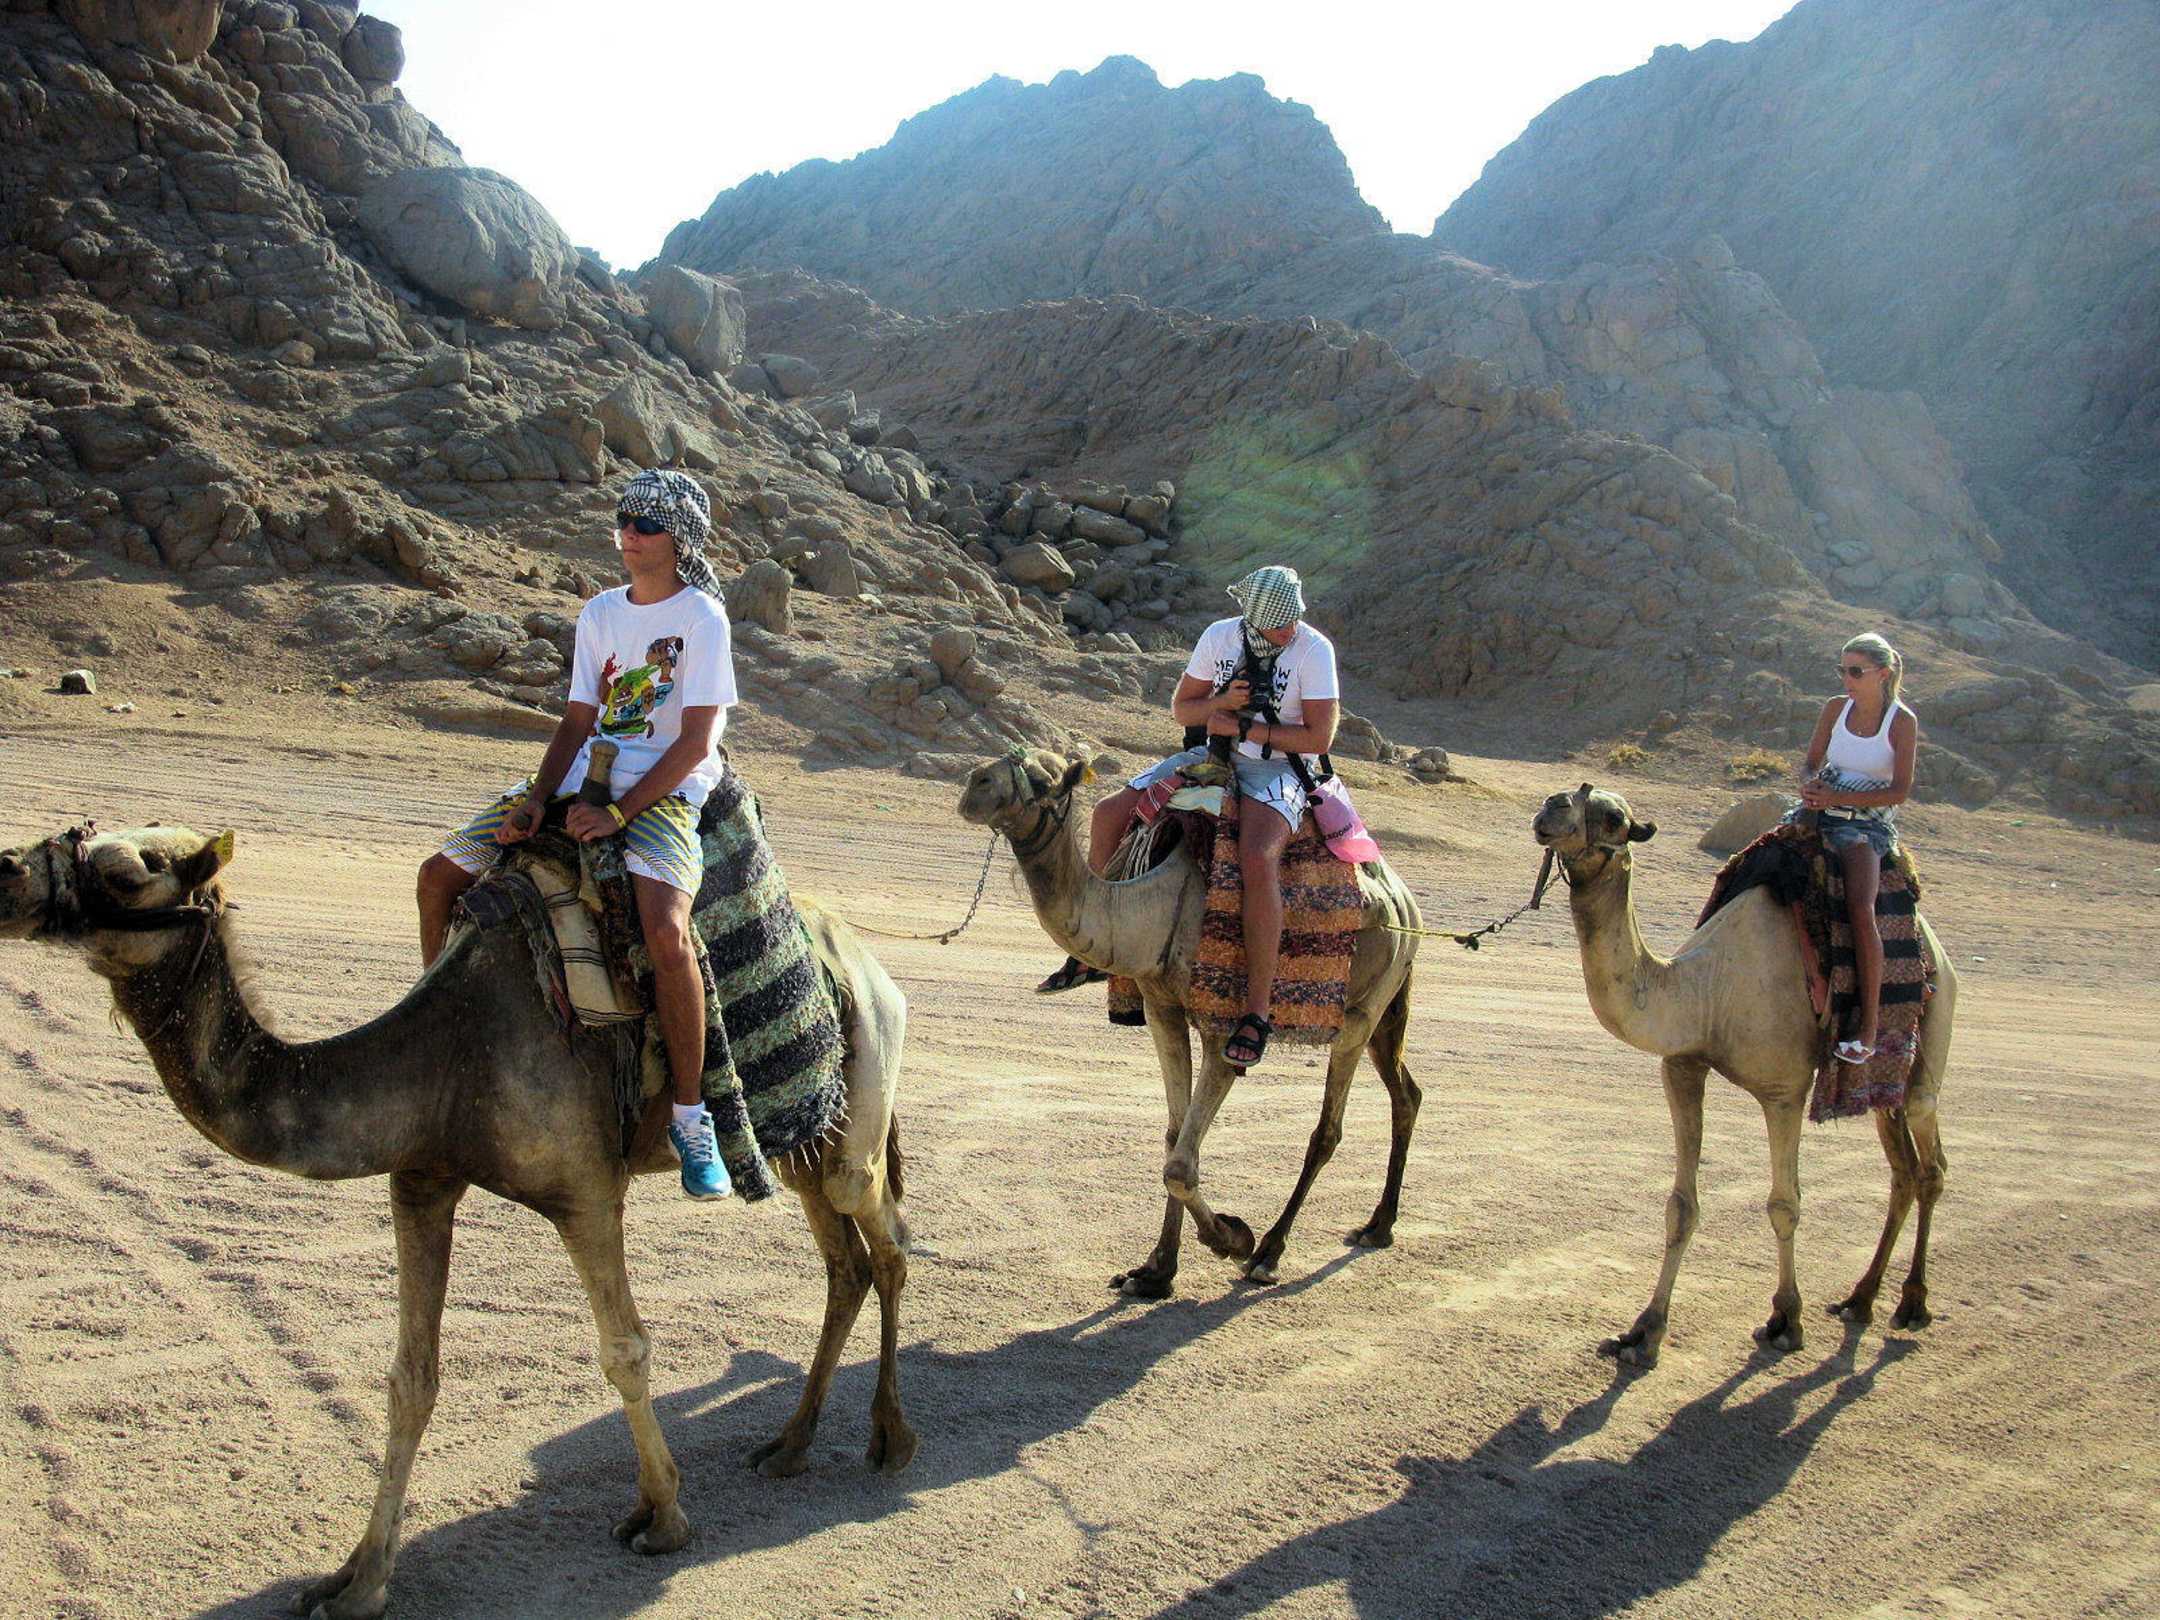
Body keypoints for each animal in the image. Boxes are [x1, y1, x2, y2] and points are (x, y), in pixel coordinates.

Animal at [0, 821, 916, 1620]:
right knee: (845, 1263)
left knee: (888, 1242)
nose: (7, 874)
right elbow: (412, 1380)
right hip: (800, 1139)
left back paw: (891, 1440)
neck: (444, 1056)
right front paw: (357, 1582)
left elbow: (624, 1352)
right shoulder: (421, 1180)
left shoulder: (586, 1192)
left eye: (126, 873)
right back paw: (790, 1445)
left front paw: (663, 1518)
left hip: (858, 1110)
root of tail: (862, 957)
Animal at [959, 749, 1422, 1293]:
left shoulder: (1221, 1025)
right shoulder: (1162, 1006)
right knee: (1406, 1094)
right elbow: (1175, 1135)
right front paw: (1155, 1270)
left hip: (1359, 1014)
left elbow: (1180, 1164)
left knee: (1327, 1130)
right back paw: (1378, 1225)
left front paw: (1232, 1237)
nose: (974, 784)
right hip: (1382, 1010)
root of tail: (1405, 903)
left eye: (1041, 778)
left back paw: (1269, 1252)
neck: (1160, 904)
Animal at [1530, 783, 1954, 1368]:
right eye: (1569, 797)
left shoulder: (1784, 1091)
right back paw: (1860, 1299)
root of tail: (1936, 948)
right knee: (1903, 1171)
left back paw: (1912, 1305)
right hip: (1879, 1088)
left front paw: (1785, 1321)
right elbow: (1681, 1206)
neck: (1707, 990)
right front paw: (1643, 1332)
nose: (1550, 808)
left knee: (1930, 1162)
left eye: (1615, 818)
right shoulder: (1683, 1066)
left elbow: (1784, 1204)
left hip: (1930, 1039)